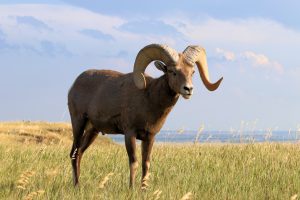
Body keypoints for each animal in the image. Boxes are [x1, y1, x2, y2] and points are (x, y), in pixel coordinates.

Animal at [68, 43, 223, 188]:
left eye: (192, 72)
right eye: (172, 71)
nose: (188, 89)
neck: (148, 98)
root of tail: (74, 85)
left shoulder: (150, 137)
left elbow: (145, 164)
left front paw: (143, 189)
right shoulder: (130, 134)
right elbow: (134, 162)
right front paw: (131, 189)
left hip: (92, 131)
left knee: (80, 153)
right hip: (78, 124)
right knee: (74, 154)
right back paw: (76, 186)